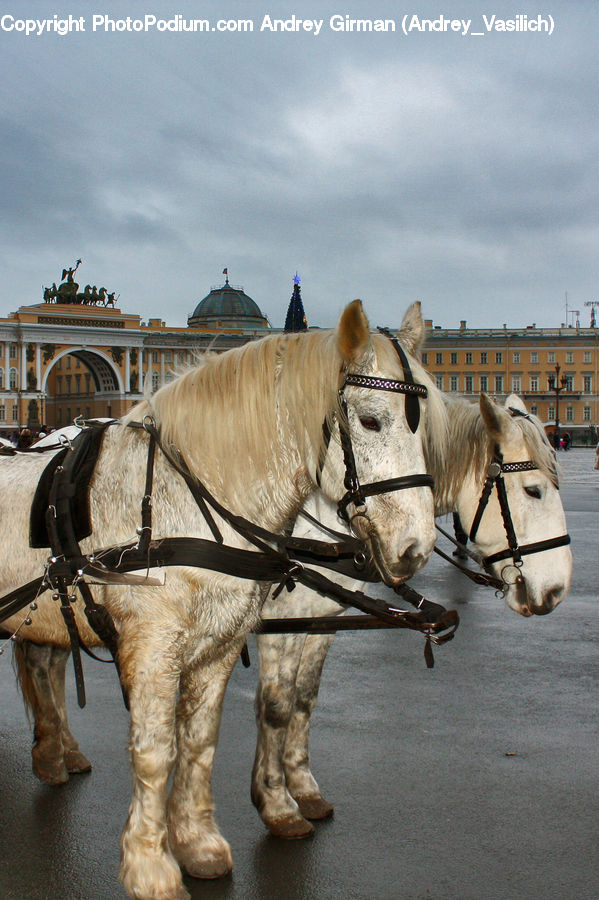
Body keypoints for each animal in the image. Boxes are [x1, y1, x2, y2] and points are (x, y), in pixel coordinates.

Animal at [0, 300, 446, 900]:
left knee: (42, 664)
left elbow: (202, 740)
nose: (415, 547)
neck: (187, 502)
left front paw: (199, 845)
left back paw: (56, 756)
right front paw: (152, 869)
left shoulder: (223, 642)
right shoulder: (154, 645)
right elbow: (156, 749)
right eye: (371, 420)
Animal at [251, 392, 576, 836]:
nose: (558, 589)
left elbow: (304, 698)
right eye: (534, 490)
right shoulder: (280, 622)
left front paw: (303, 788)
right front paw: (276, 804)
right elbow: (276, 705)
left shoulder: (319, 620)